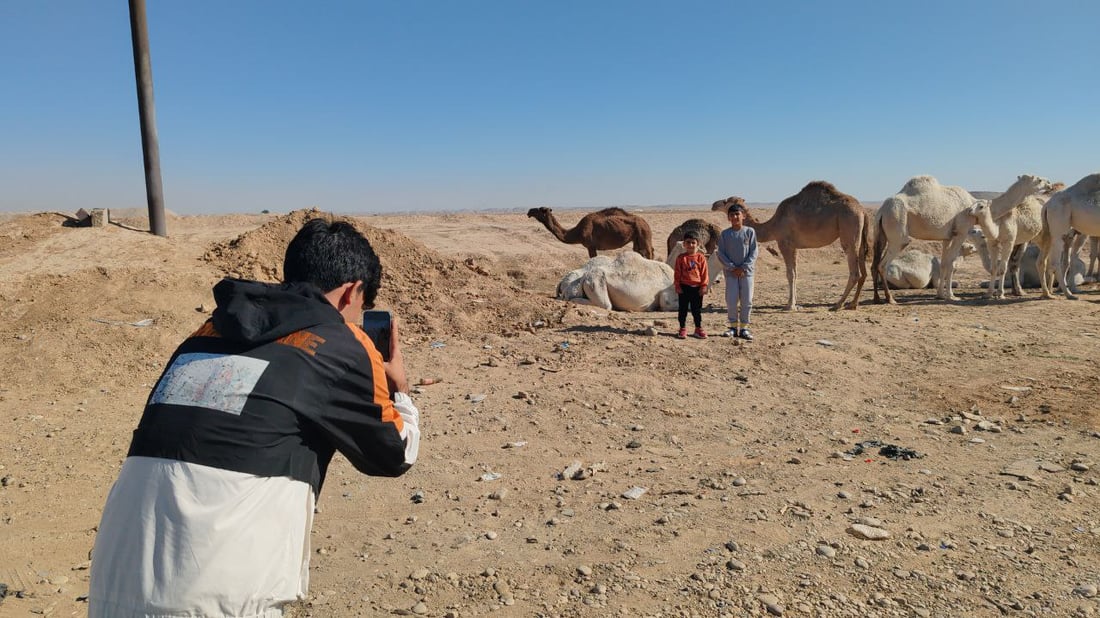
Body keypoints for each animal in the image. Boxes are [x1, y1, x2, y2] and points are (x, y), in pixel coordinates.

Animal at [712, 181, 875, 307]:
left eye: (726, 201)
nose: (714, 204)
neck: (773, 225)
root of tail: (862, 210)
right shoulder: (794, 247)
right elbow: (795, 273)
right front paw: (794, 303)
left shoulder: (785, 244)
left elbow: (789, 274)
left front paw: (790, 305)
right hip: (860, 235)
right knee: (863, 269)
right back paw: (852, 304)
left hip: (849, 228)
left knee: (854, 270)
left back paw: (838, 304)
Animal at [1038, 171, 1100, 299]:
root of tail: (1047, 204)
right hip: (1059, 226)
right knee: (1055, 261)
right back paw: (1069, 293)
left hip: (1049, 232)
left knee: (1042, 261)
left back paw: (1047, 294)